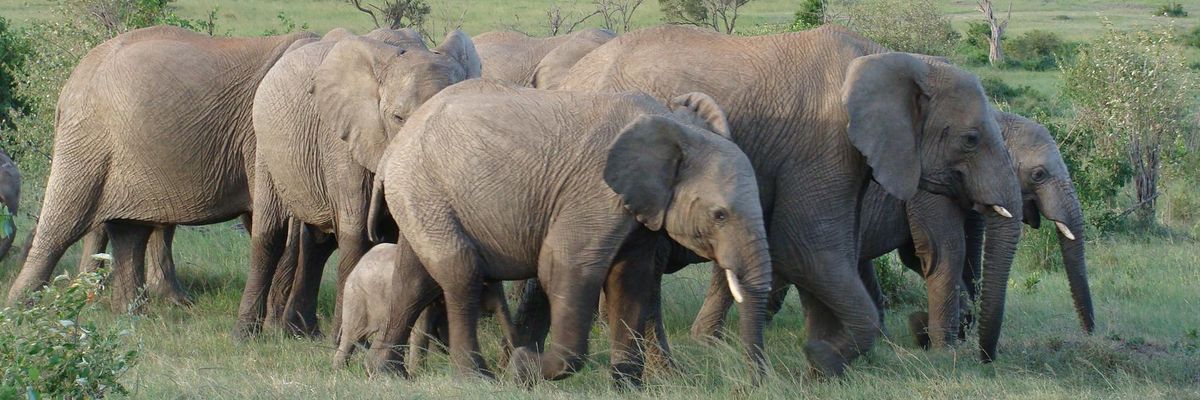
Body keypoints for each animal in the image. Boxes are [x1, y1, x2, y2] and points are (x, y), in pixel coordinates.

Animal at [5, 26, 319, 312]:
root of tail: (74, 79)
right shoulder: (265, 139)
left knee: (128, 230)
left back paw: (132, 312)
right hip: (88, 140)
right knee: (63, 223)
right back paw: (20, 311)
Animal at [237, 29, 481, 340]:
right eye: (398, 118)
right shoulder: (343, 144)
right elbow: (357, 235)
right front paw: (346, 340)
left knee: (316, 243)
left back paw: (302, 333)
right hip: (265, 145)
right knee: (270, 234)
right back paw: (245, 334)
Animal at [365, 80, 772, 387]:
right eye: (720, 215)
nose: (753, 383)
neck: (673, 125)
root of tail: (392, 149)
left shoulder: (639, 210)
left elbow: (631, 280)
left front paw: (627, 387)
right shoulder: (594, 193)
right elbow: (565, 268)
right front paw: (523, 368)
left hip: (421, 196)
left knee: (414, 281)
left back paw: (386, 374)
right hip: (424, 188)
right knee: (461, 273)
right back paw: (475, 379)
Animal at [556, 25, 1024, 375]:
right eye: (970, 139)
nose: (984, 360)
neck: (890, 59)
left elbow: (835, 252)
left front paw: (825, 360)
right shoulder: (821, 143)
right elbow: (808, 247)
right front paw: (823, 358)